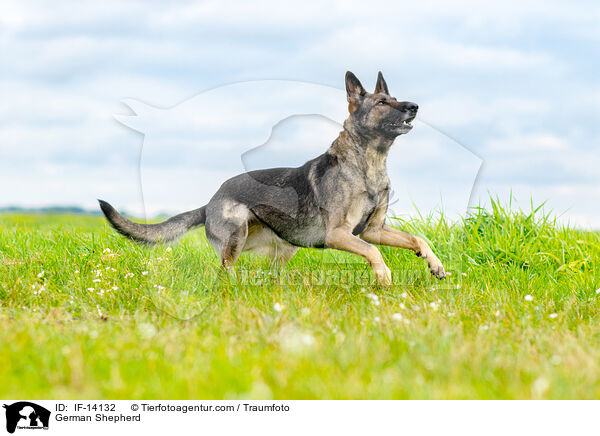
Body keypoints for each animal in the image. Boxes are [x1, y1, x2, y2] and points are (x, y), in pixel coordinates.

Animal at [99, 72, 446, 286]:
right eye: (381, 103)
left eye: (394, 98)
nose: (414, 106)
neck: (369, 162)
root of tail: (209, 202)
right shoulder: (340, 234)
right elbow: (374, 253)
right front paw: (383, 276)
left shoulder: (374, 230)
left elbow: (418, 239)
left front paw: (434, 263)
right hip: (236, 236)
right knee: (225, 272)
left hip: (286, 248)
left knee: (267, 274)